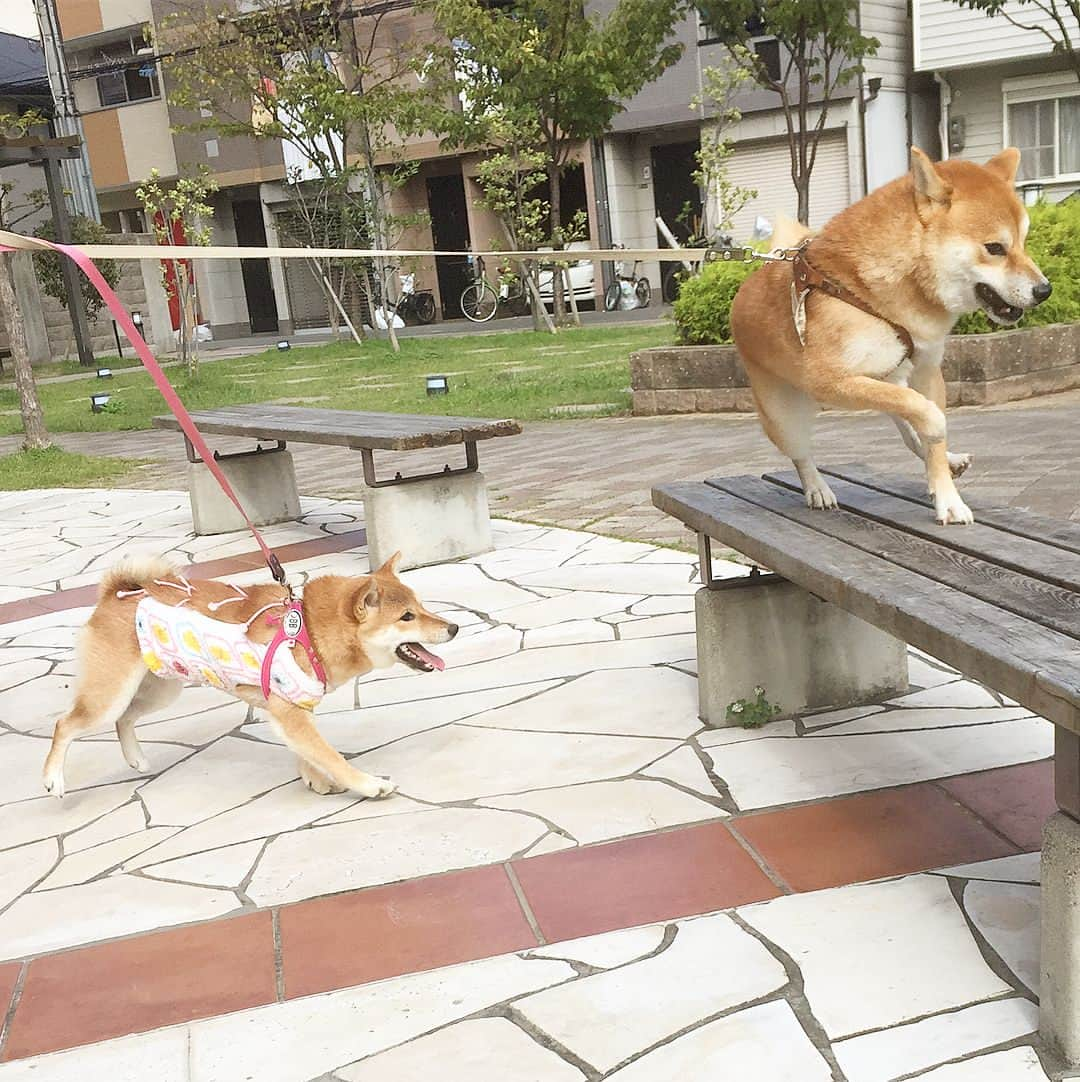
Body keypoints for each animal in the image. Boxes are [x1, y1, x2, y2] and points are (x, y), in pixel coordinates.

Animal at [41, 553, 456, 800]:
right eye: (407, 617)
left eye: (422, 607)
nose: (453, 627)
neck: (310, 631)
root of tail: (119, 593)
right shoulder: (289, 711)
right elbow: (331, 755)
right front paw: (369, 785)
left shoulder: (288, 710)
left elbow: (307, 751)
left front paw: (314, 778)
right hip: (111, 693)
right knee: (66, 724)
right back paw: (53, 779)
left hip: (159, 688)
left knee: (124, 719)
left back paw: (136, 759)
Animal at [731, 146, 1051, 525]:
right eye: (995, 248)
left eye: (1023, 242)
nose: (1045, 290)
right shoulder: (831, 381)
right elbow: (930, 417)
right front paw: (938, 441)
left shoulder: (926, 370)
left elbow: (927, 429)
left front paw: (947, 495)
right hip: (785, 415)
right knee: (803, 453)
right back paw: (817, 489)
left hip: (890, 377)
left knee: (908, 430)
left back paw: (949, 459)